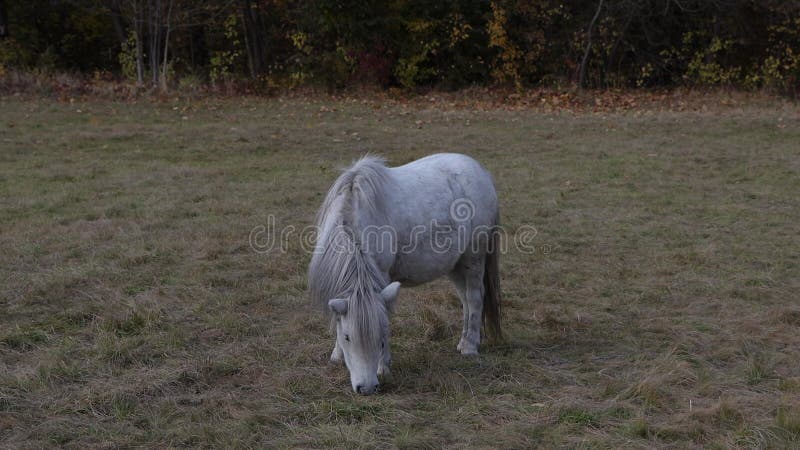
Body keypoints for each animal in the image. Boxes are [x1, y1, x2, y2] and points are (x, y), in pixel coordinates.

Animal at [308, 153, 500, 392]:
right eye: (347, 337)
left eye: (379, 334)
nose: (367, 387)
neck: (354, 214)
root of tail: (481, 171)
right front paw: (337, 355)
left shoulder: (383, 278)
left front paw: (383, 366)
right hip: (456, 265)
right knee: (465, 300)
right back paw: (463, 341)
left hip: (473, 258)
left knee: (474, 298)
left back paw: (470, 347)